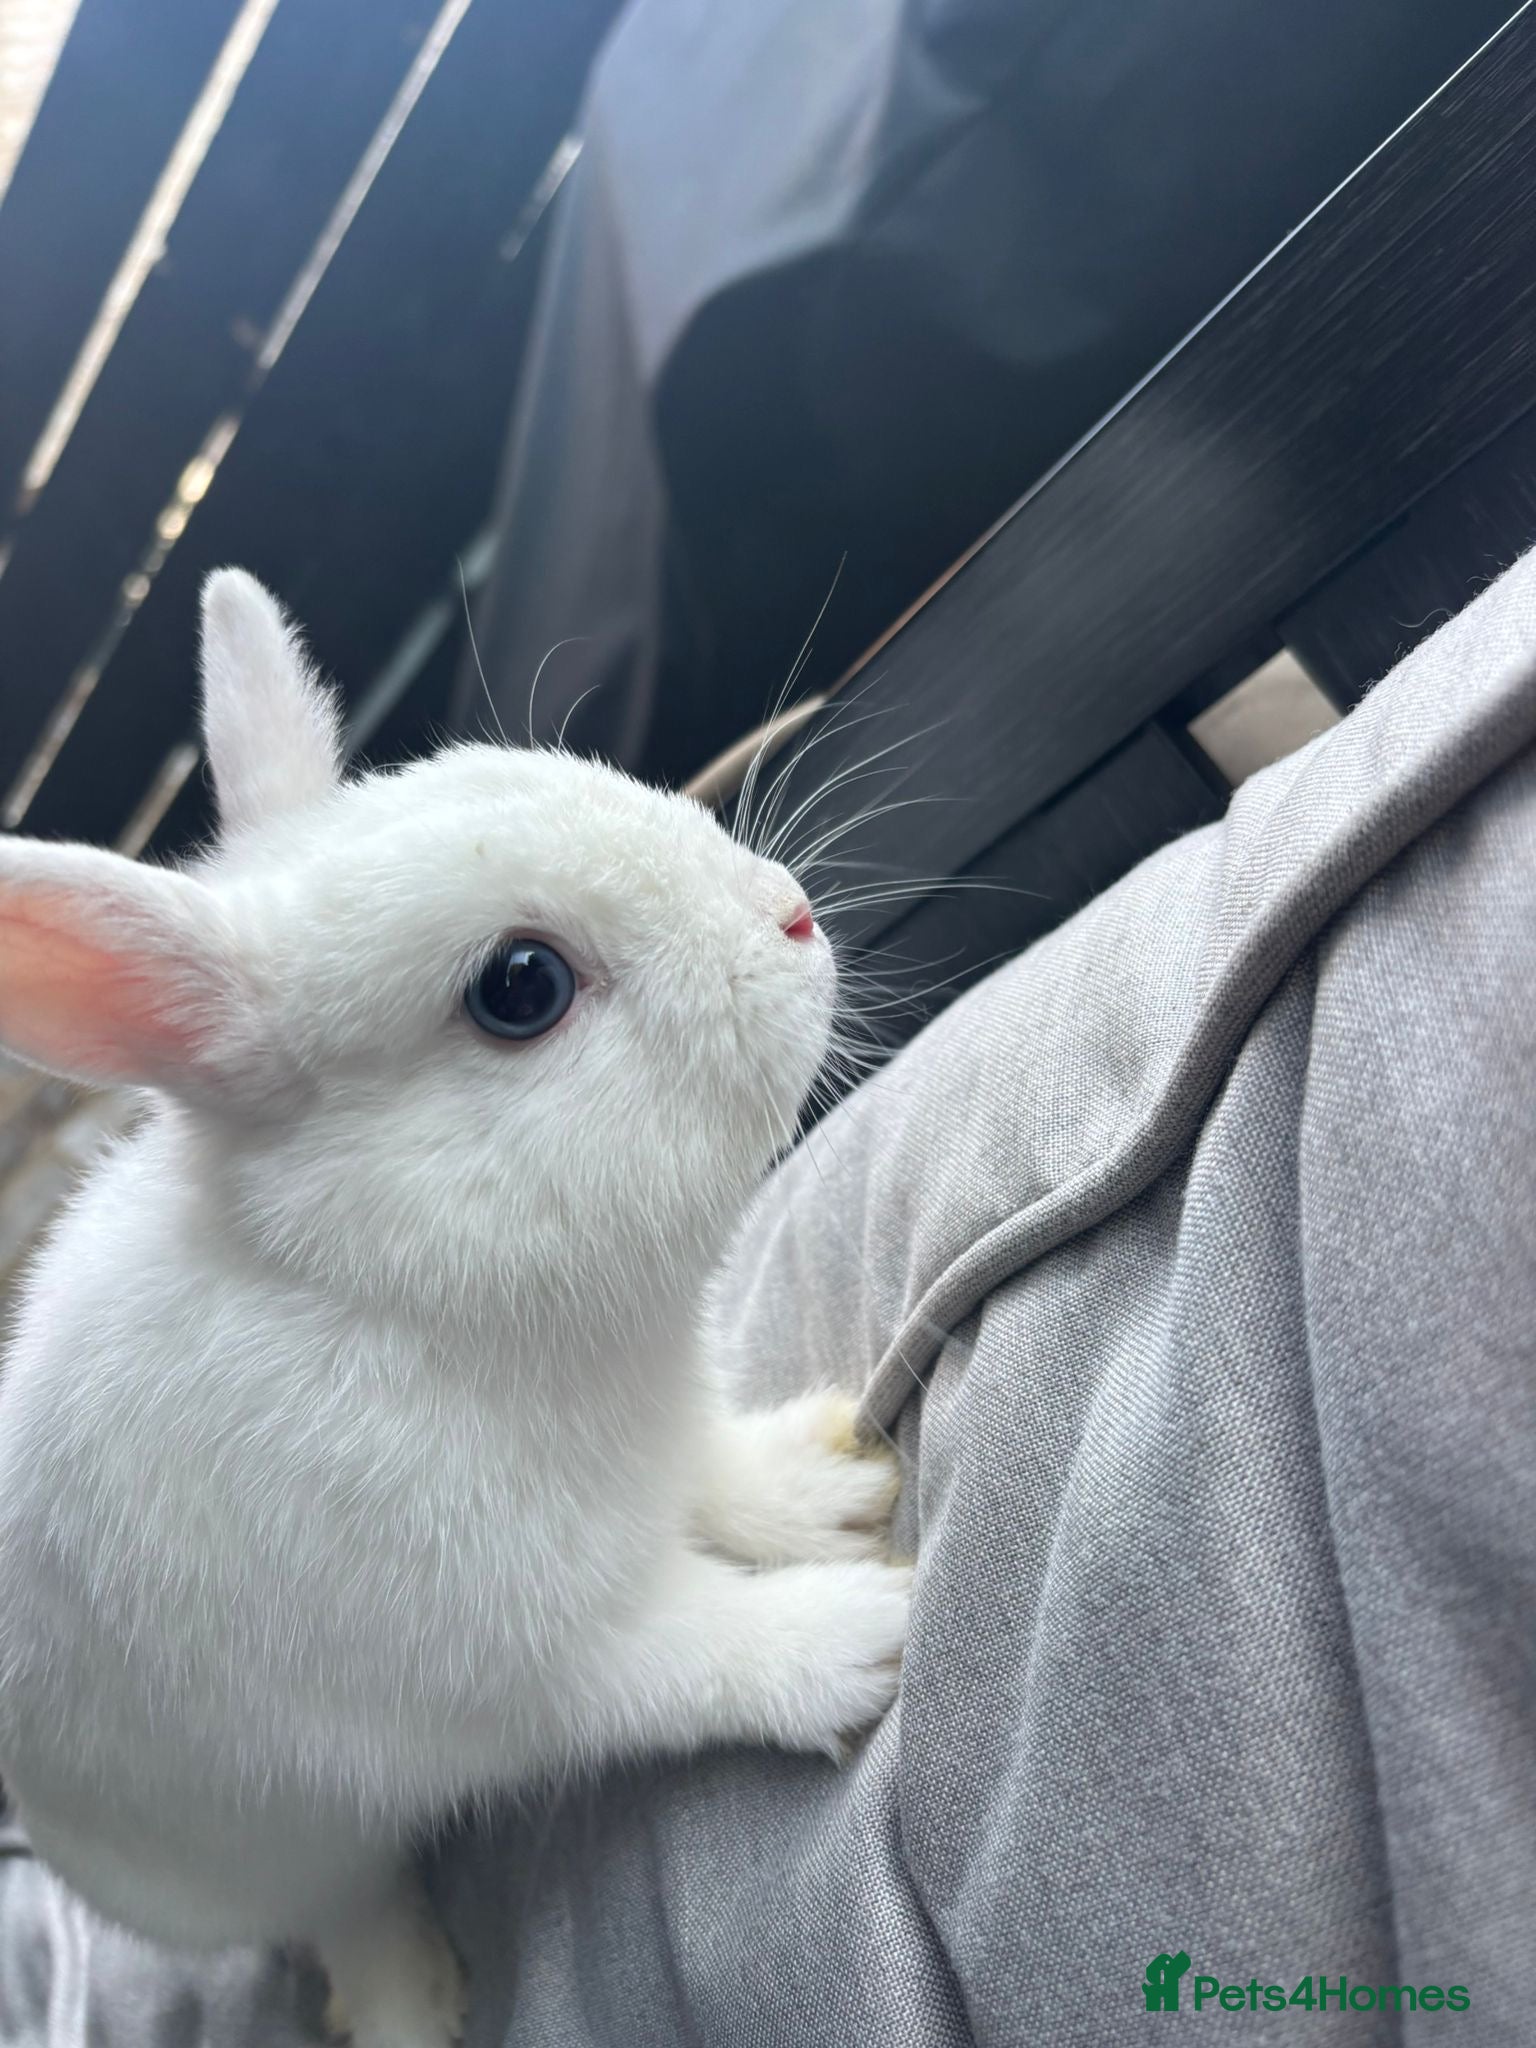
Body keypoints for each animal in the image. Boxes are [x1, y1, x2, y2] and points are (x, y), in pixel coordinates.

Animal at [0, 569, 909, 2048]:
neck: (396, 1291)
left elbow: (722, 1479)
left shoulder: (664, 1446)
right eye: (520, 988)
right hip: (259, 1853)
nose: (790, 914)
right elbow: (695, 1658)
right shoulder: (529, 1660)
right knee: (342, 1902)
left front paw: (831, 1484)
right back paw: (411, 1999)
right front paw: (862, 1634)